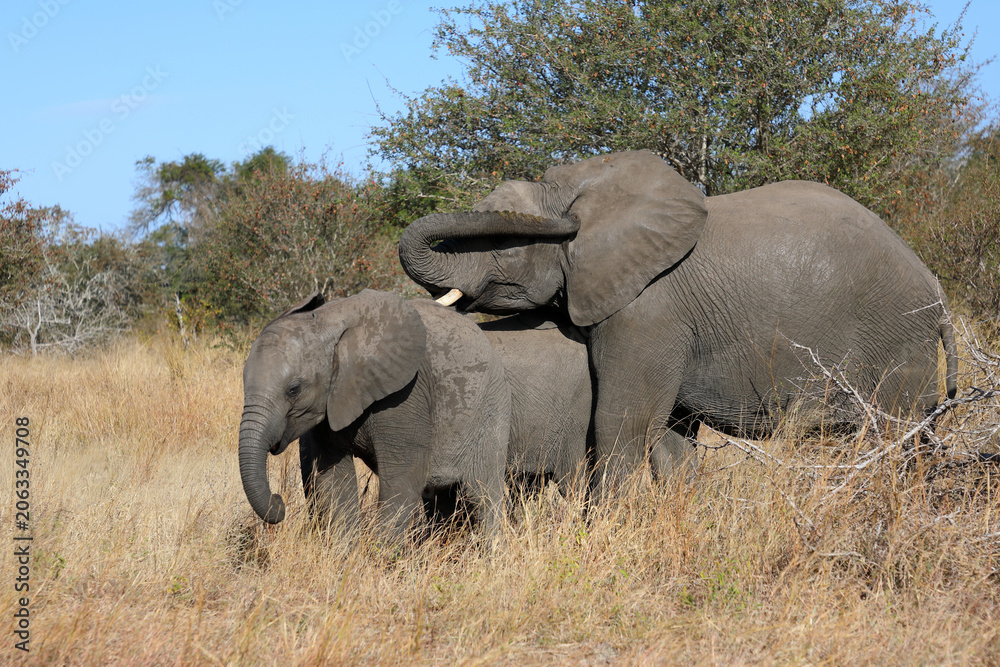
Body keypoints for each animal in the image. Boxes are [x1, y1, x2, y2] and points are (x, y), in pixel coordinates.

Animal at [238, 289, 510, 541]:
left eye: (293, 389)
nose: (278, 500)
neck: (328, 323)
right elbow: (332, 479)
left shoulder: (406, 393)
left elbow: (403, 476)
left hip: (488, 411)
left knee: (483, 494)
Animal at [397, 149, 959, 499]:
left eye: (503, 242)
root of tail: (936, 292)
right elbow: (667, 435)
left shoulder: (646, 309)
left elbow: (622, 421)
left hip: (895, 338)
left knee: (896, 433)